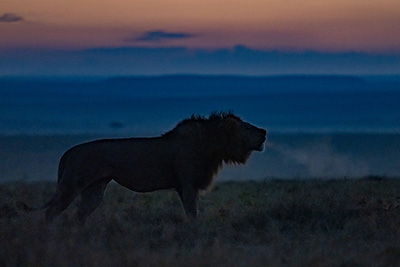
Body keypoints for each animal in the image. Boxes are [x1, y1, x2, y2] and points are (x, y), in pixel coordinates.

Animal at [20, 112, 268, 225]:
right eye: (248, 127)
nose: (265, 131)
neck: (212, 146)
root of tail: (68, 152)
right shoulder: (187, 185)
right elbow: (192, 213)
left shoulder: (185, 186)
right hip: (71, 185)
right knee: (51, 212)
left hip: (94, 190)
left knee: (79, 215)